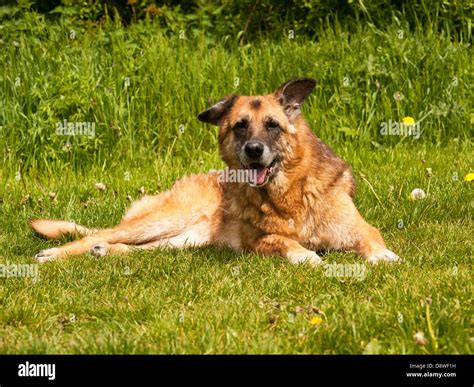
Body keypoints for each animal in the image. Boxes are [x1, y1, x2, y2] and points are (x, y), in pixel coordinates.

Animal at [30, 79, 400, 266]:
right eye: (240, 126)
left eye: (272, 125)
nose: (254, 150)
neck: (289, 193)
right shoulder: (258, 241)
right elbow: (285, 242)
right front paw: (306, 256)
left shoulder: (359, 228)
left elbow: (372, 239)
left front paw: (383, 256)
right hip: (165, 219)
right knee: (99, 234)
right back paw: (55, 254)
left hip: (182, 240)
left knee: (134, 246)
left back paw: (107, 252)